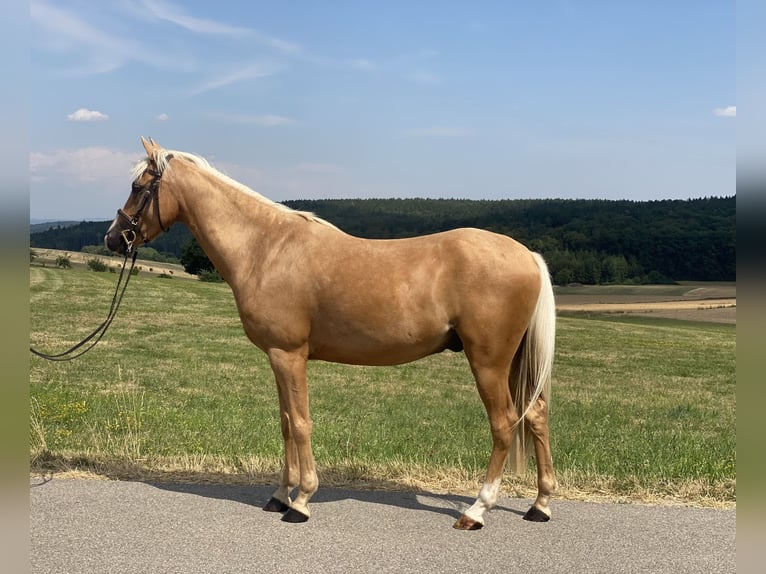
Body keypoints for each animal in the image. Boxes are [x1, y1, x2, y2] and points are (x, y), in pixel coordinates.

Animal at [105, 137, 557, 530]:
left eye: (137, 187)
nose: (112, 238)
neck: (266, 248)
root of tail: (527, 255)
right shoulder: (277, 356)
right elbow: (286, 422)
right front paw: (279, 495)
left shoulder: (289, 354)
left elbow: (302, 422)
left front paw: (301, 501)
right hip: (513, 362)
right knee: (536, 415)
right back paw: (540, 505)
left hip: (488, 362)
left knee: (504, 424)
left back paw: (477, 510)